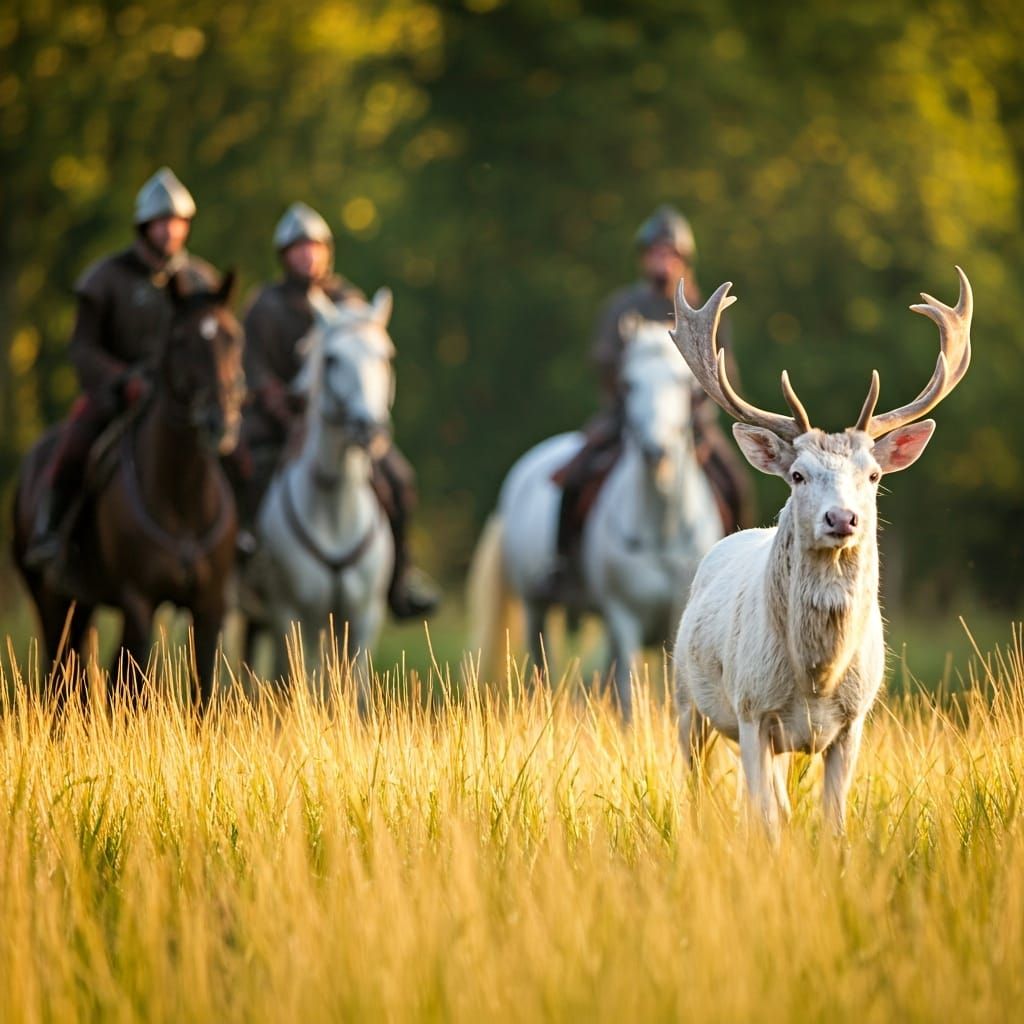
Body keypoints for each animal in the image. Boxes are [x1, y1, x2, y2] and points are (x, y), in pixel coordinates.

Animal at [669, 267, 972, 836]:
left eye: (872, 475)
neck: (815, 677)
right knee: (697, 778)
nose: (841, 519)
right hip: (684, 696)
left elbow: (832, 820)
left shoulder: (854, 721)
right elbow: (765, 820)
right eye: (797, 474)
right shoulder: (752, 709)